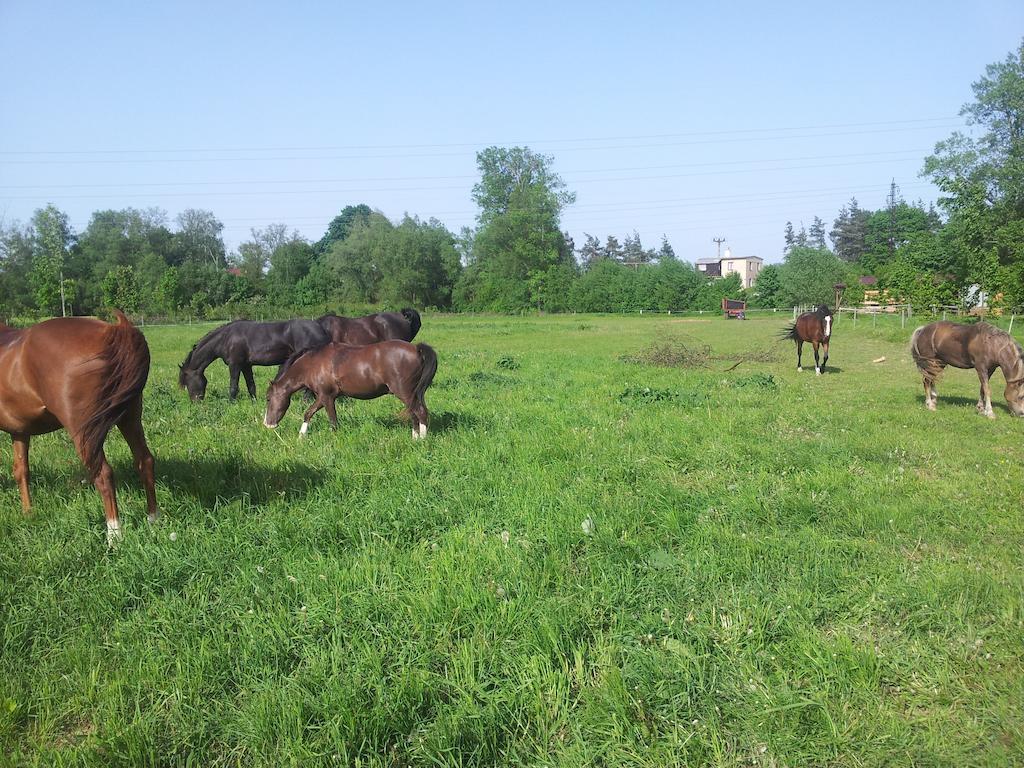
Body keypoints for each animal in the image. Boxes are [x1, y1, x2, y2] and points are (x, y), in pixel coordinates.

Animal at [0, 309, 157, 544]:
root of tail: (114, 331)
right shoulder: (19, 431)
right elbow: (21, 471)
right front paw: (28, 513)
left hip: (82, 431)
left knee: (103, 474)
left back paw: (114, 536)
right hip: (130, 419)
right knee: (144, 460)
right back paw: (154, 519)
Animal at [178, 319, 329, 403]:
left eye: (187, 381)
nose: (195, 402)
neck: (226, 338)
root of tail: (320, 328)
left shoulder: (235, 365)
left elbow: (233, 386)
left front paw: (231, 403)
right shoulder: (246, 366)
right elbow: (251, 385)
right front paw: (254, 402)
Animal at [264, 342, 436, 438]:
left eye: (268, 399)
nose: (267, 424)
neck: (312, 363)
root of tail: (416, 348)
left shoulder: (327, 398)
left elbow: (333, 422)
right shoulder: (322, 397)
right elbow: (308, 413)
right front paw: (301, 436)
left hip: (405, 393)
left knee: (421, 413)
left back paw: (422, 440)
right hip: (411, 395)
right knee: (414, 414)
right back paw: (414, 437)